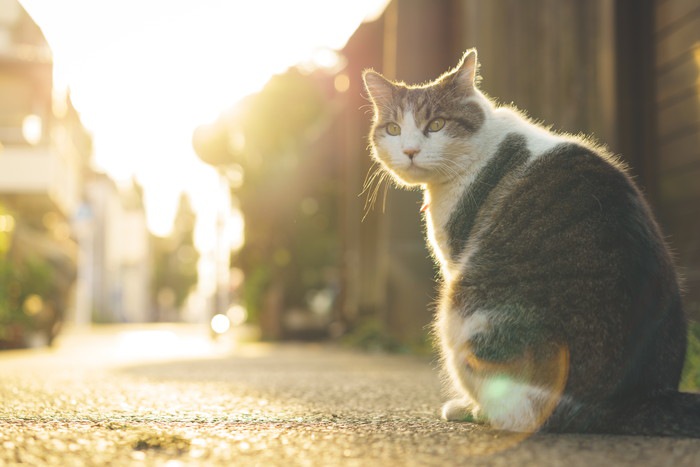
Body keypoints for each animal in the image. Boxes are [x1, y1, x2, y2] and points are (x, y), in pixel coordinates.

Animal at [364, 49, 696, 436]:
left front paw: (466, 407)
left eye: (436, 125)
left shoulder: (453, 263)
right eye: (393, 129)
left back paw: (475, 410)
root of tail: (633, 400)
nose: (410, 151)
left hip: (459, 309)